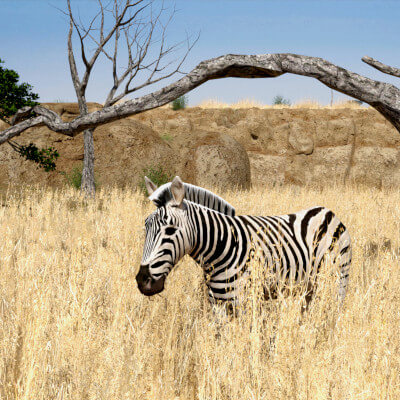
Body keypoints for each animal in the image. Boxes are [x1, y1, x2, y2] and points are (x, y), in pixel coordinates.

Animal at [136, 176, 352, 306]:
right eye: (145, 228)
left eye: (170, 230)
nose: (142, 280)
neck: (222, 247)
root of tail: (327, 211)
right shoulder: (218, 305)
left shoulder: (245, 303)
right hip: (308, 288)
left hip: (336, 280)